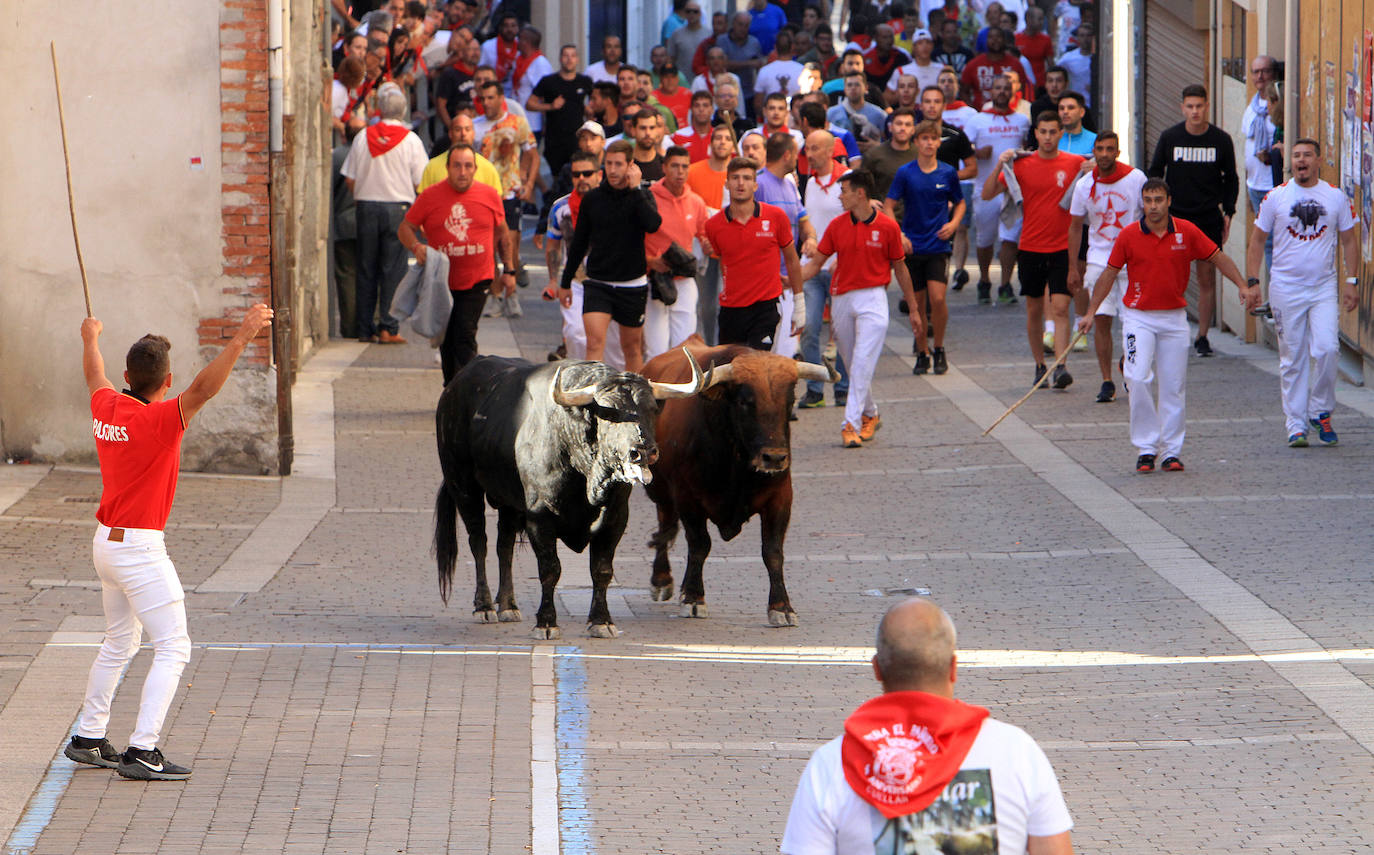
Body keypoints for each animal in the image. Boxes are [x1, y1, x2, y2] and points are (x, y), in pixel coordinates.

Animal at [434, 351, 703, 640]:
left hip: (509, 503)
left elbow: (602, 570)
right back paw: (484, 606)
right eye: (610, 412)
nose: (642, 451)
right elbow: (550, 569)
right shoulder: (539, 517)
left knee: (503, 545)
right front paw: (546, 623)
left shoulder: (615, 519)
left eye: (652, 408)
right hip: (463, 487)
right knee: (479, 542)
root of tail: (455, 384)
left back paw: (508, 606)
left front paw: (601, 621)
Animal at [637, 338, 829, 626]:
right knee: (666, 525)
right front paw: (694, 598)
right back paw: (661, 580)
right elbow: (699, 545)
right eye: (744, 402)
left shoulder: (781, 499)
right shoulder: (688, 498)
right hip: (659, 490)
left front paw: (781, 607)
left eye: (790, 400)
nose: (775, 457)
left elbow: (773, 552)